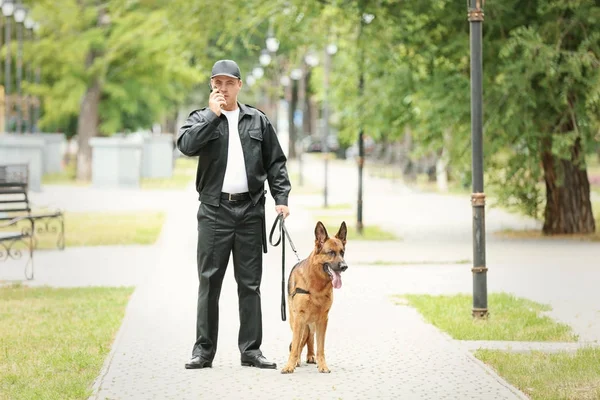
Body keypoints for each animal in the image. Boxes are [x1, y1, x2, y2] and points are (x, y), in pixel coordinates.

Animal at [282, 220, 350, 374]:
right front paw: (290, 365)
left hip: (311, 323)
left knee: (310, 338)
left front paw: (322, 365)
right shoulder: (299, 318)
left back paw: (311, 356)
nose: (344, 266)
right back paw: (297, 360)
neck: (316, 284)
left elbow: (320, 346)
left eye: (342, 252)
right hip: (296, 321)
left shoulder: (323, 319)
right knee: (300, 341)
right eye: (331, 252)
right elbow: (295, 345)